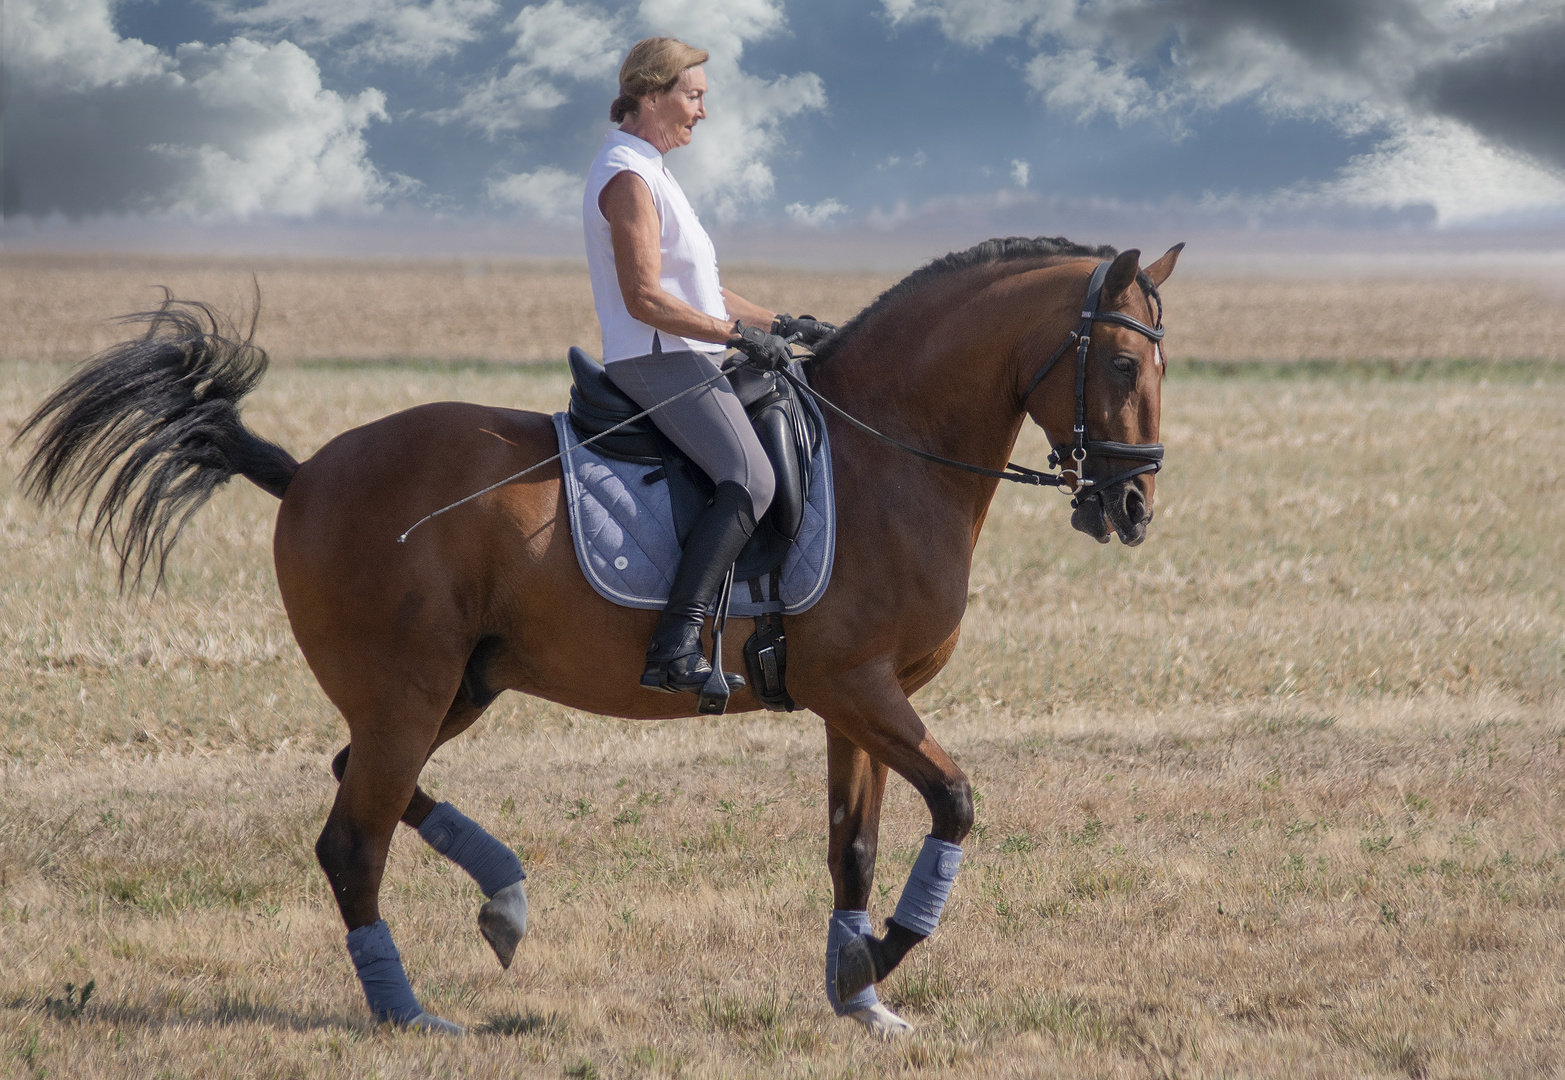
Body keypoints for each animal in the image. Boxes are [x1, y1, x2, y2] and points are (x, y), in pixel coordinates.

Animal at [12, 237, 1176, 1033]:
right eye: (1122, 369)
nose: (1130, 508)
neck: (889, 451)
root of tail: (303, 473)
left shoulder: (858, 703)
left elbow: (853, 845)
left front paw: (856, 994)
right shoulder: (861, 689)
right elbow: (957, 801)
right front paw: (877, 964)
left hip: (455, 689)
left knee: (360, 784)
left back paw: (503, 897)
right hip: (409, 694)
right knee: (351, 838)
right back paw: (407, 1011)